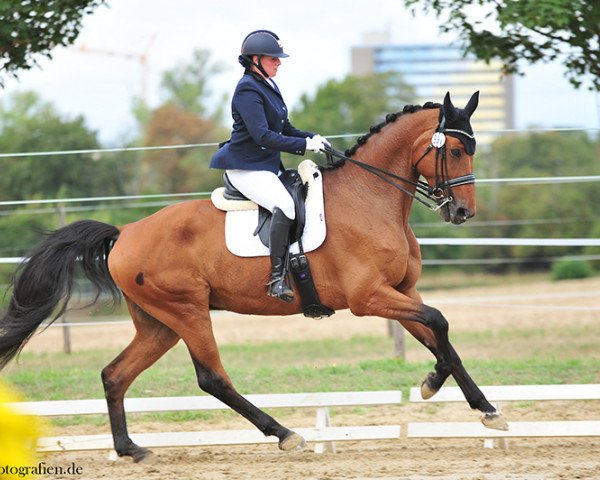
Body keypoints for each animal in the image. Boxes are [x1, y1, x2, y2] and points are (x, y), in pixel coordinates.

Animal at [0, 92, 506, 464]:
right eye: (455, 150)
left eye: (471, 149)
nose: (463, 212)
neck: (372, 197)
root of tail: (125, 233)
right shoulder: (369, 298)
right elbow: (439, 322)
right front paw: (438, 386)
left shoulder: (400, 292)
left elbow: (439, 336)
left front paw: (480, 407)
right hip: (187, 311)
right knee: (212, 378)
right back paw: (285, 434)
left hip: (159, 323)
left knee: (115, 374)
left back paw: (131, 450)